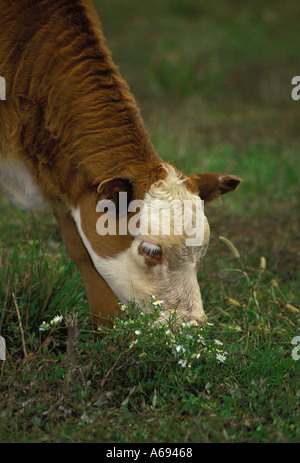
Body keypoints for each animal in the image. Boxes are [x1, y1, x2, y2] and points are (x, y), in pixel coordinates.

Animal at [0, 0, 240, 332]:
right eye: (152, 250)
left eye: (202, 252)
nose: (190, 325)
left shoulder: (68, 186)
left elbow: (82, 254)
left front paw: (109, 333)